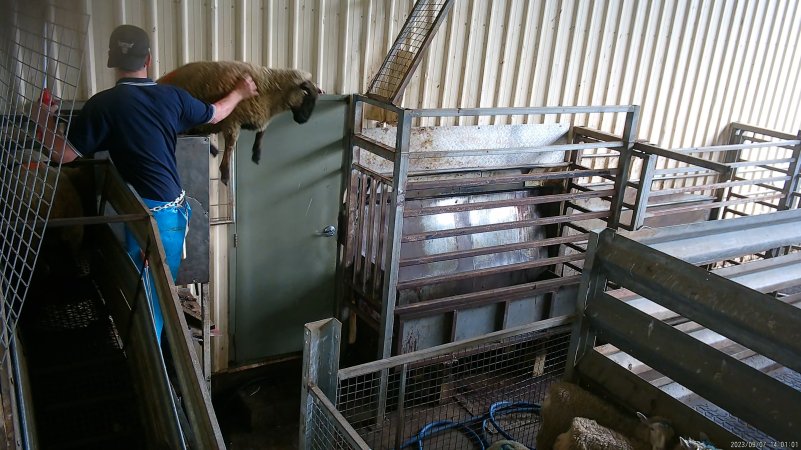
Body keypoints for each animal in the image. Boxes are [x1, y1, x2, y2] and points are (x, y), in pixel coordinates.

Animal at [156, 60, 318, 184]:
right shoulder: (232, 120)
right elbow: (230, 146)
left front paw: (256, 154)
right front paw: (225, 174)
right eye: (307, 95)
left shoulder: (258, 116)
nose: (303, 120)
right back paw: (213, 150)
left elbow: (261, 132)